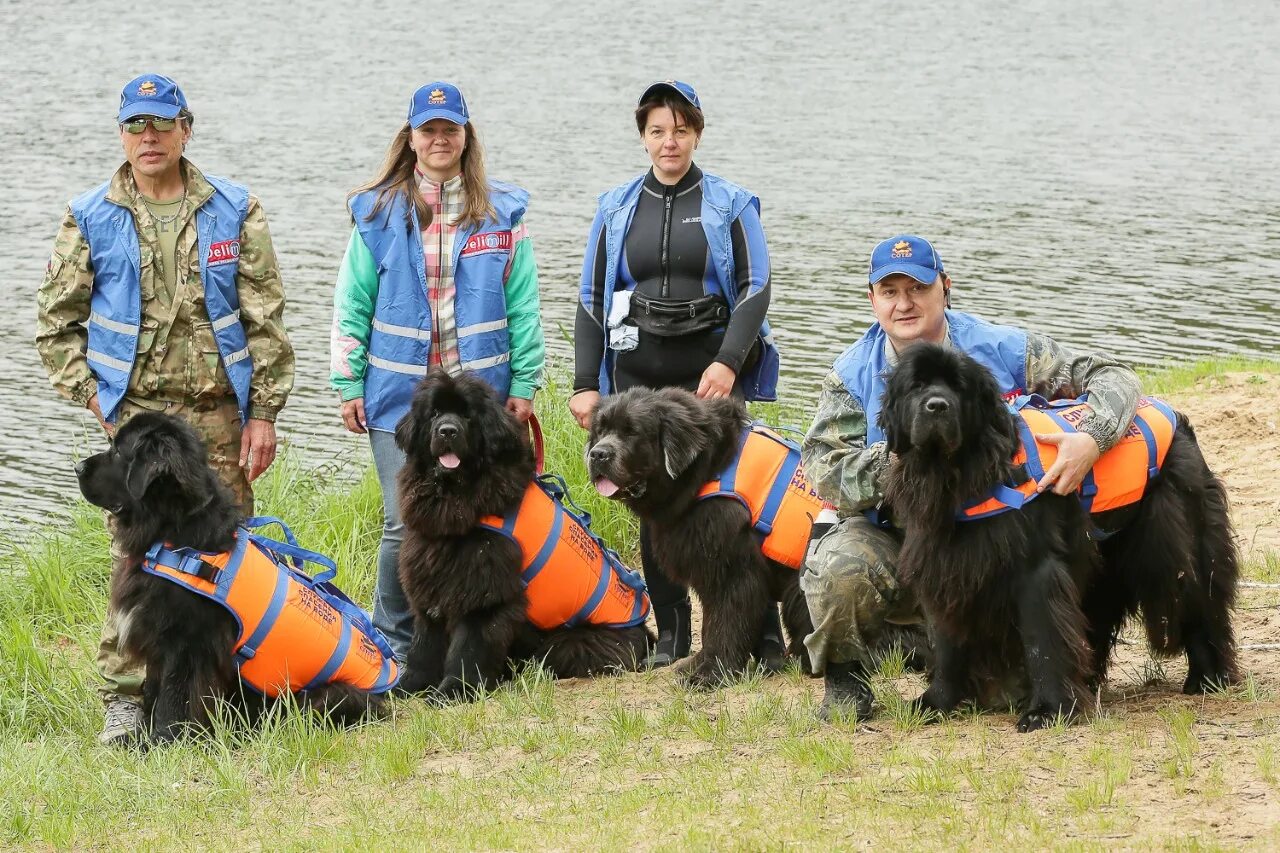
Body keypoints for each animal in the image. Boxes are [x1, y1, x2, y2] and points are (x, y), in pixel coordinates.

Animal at [74, 412, 381, 742]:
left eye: (119, 452)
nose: (77, 467)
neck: (173, 533)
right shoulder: (157, 637)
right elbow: (153, 692)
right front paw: (138, 735)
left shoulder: (184, 642)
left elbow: (173, 697)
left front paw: (162, 742)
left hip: (329, 694)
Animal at [394, 366, 655, 696]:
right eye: (435, 413)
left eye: (467, 415)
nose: (447, 431)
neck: (459, 494)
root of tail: (647, 637)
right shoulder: (432, 573)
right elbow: (425, 641)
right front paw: (409, 685)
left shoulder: (485, 587)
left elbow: (468, 646)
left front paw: (454, 689)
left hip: (567, 643)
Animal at [586, 384, 814, 686]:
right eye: (600, 430)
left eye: (632, 431)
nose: (597, 454)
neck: (708, 467)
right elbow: (712, 625)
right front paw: (698, 665)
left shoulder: (731, 570)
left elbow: (725, 622)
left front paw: (710, 674)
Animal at [885, 343, 1233, 727]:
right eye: (916, 386)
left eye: (958, 387)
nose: (936, 406)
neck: (960, 473)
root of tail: (1177, 419)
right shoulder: (945, 564)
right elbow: (946, 641)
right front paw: (935, 703)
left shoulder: (1034, 569)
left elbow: (1043, 637)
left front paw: (1048, 710)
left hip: (1172, 541)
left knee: (1199, 597)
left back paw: (1208, 676)